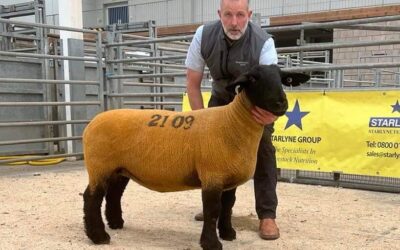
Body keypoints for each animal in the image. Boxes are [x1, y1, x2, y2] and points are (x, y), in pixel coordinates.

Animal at [82, 63, 310, 249]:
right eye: (253, 79)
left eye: (283, 79)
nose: (281, 104)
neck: (232, 122)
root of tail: (92, 123)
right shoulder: (212, 176)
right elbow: (212, 211)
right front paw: (211, 243)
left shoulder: (228, 178)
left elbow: (228, 206)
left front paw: (228, 233)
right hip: (99, 166)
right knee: (92, 197)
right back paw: (99, 236)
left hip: (121, 169)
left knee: (113, 195)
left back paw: (115, 224)